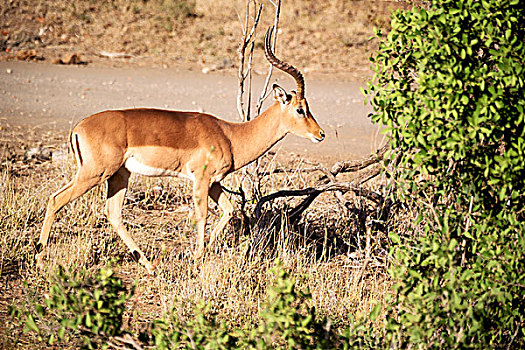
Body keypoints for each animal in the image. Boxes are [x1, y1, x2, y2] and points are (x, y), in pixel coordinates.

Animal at [35, 28, 324, 274]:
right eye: (300, 109)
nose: (320, 134)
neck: (229, 136)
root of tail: (79, 127)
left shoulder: (215, 182)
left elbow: (229, 211)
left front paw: (198, 255)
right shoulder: (201, 180)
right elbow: (202, 215)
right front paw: (196, 260)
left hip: (119, 175)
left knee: (112, 213)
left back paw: (149, 265)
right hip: (95, 173)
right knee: (56, 199)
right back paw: (39, 259)